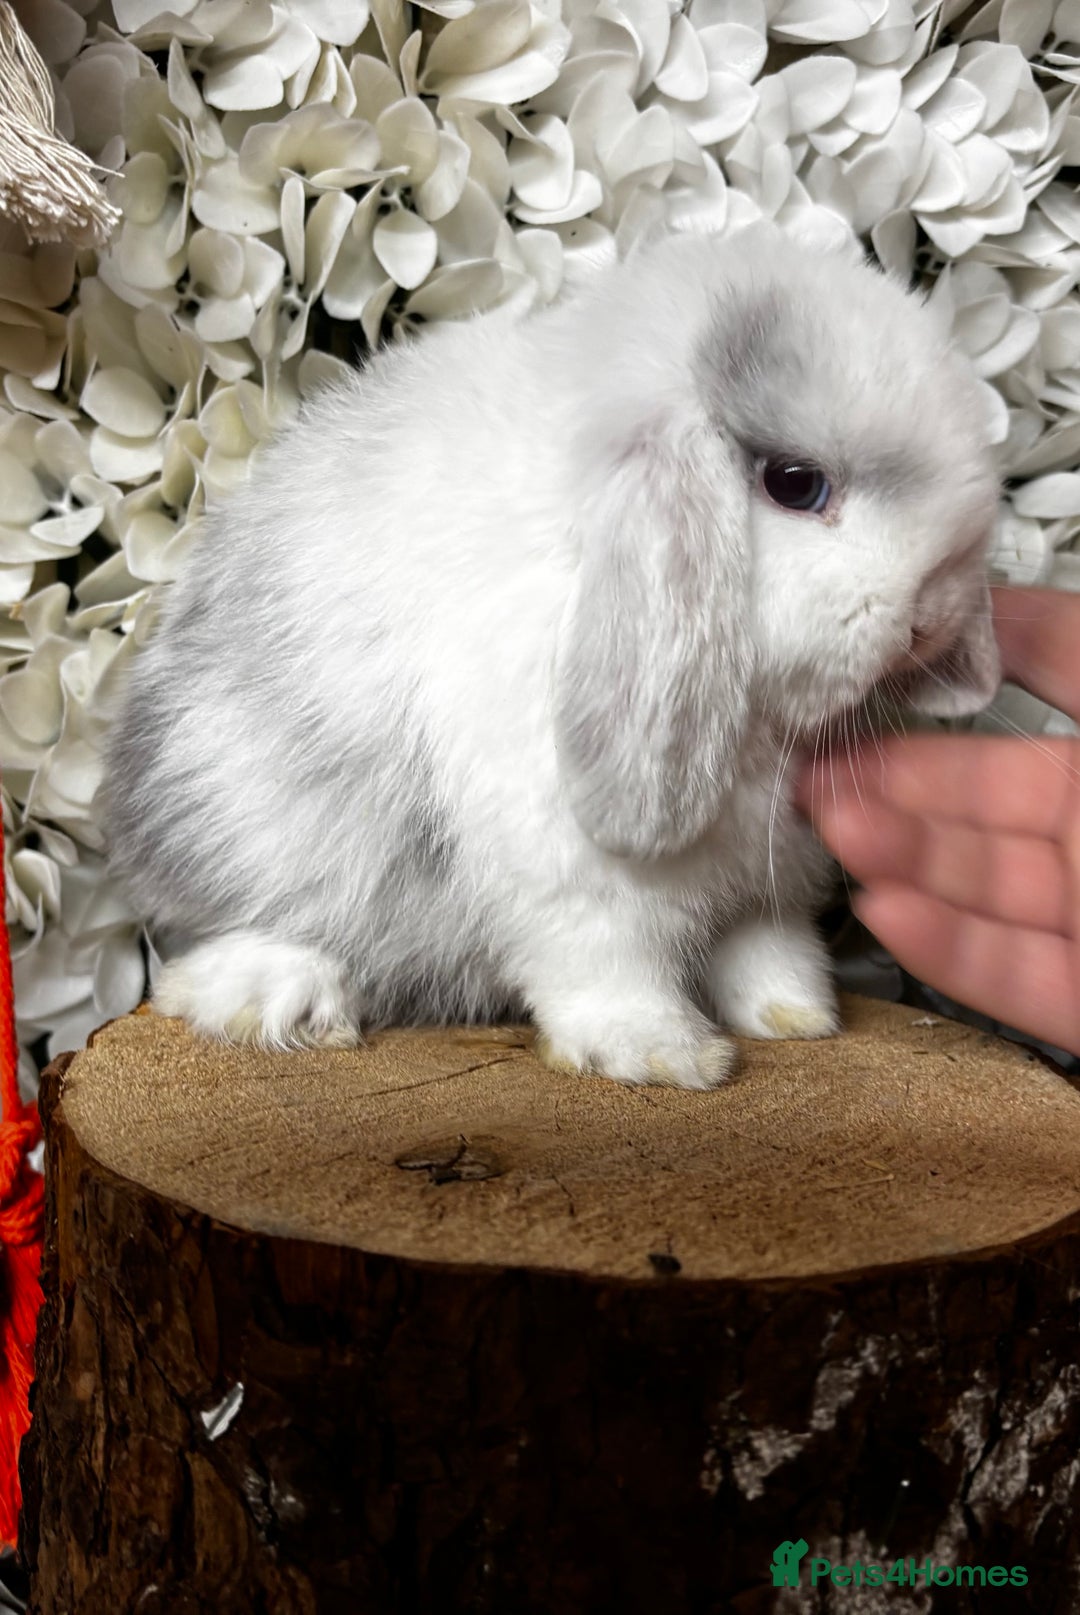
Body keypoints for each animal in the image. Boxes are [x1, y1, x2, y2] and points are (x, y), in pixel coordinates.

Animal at [102, 221, 1001, 1089]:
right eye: (795, 482)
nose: (929, 616)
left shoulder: (763, 881)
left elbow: (766, 947)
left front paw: (796, 1017)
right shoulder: (574, 876)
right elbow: (607, 964)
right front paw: (664, 1055)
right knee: (201, 958)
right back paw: (289, 996)